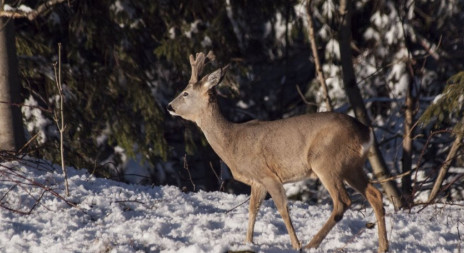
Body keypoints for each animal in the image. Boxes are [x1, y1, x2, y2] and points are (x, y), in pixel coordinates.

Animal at [167, 52, 388, 253]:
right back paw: (383, 247)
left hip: (326, 161)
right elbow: (252, 210)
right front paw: (248, 242)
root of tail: (366, 131)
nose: (169, 106)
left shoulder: (268, 174)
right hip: (352, 166)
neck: (232, 143)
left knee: (342, 202)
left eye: (185, 93)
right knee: (375, 195)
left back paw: (310, 245)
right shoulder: (257, 181)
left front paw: (295, 245)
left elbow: (283, 210)